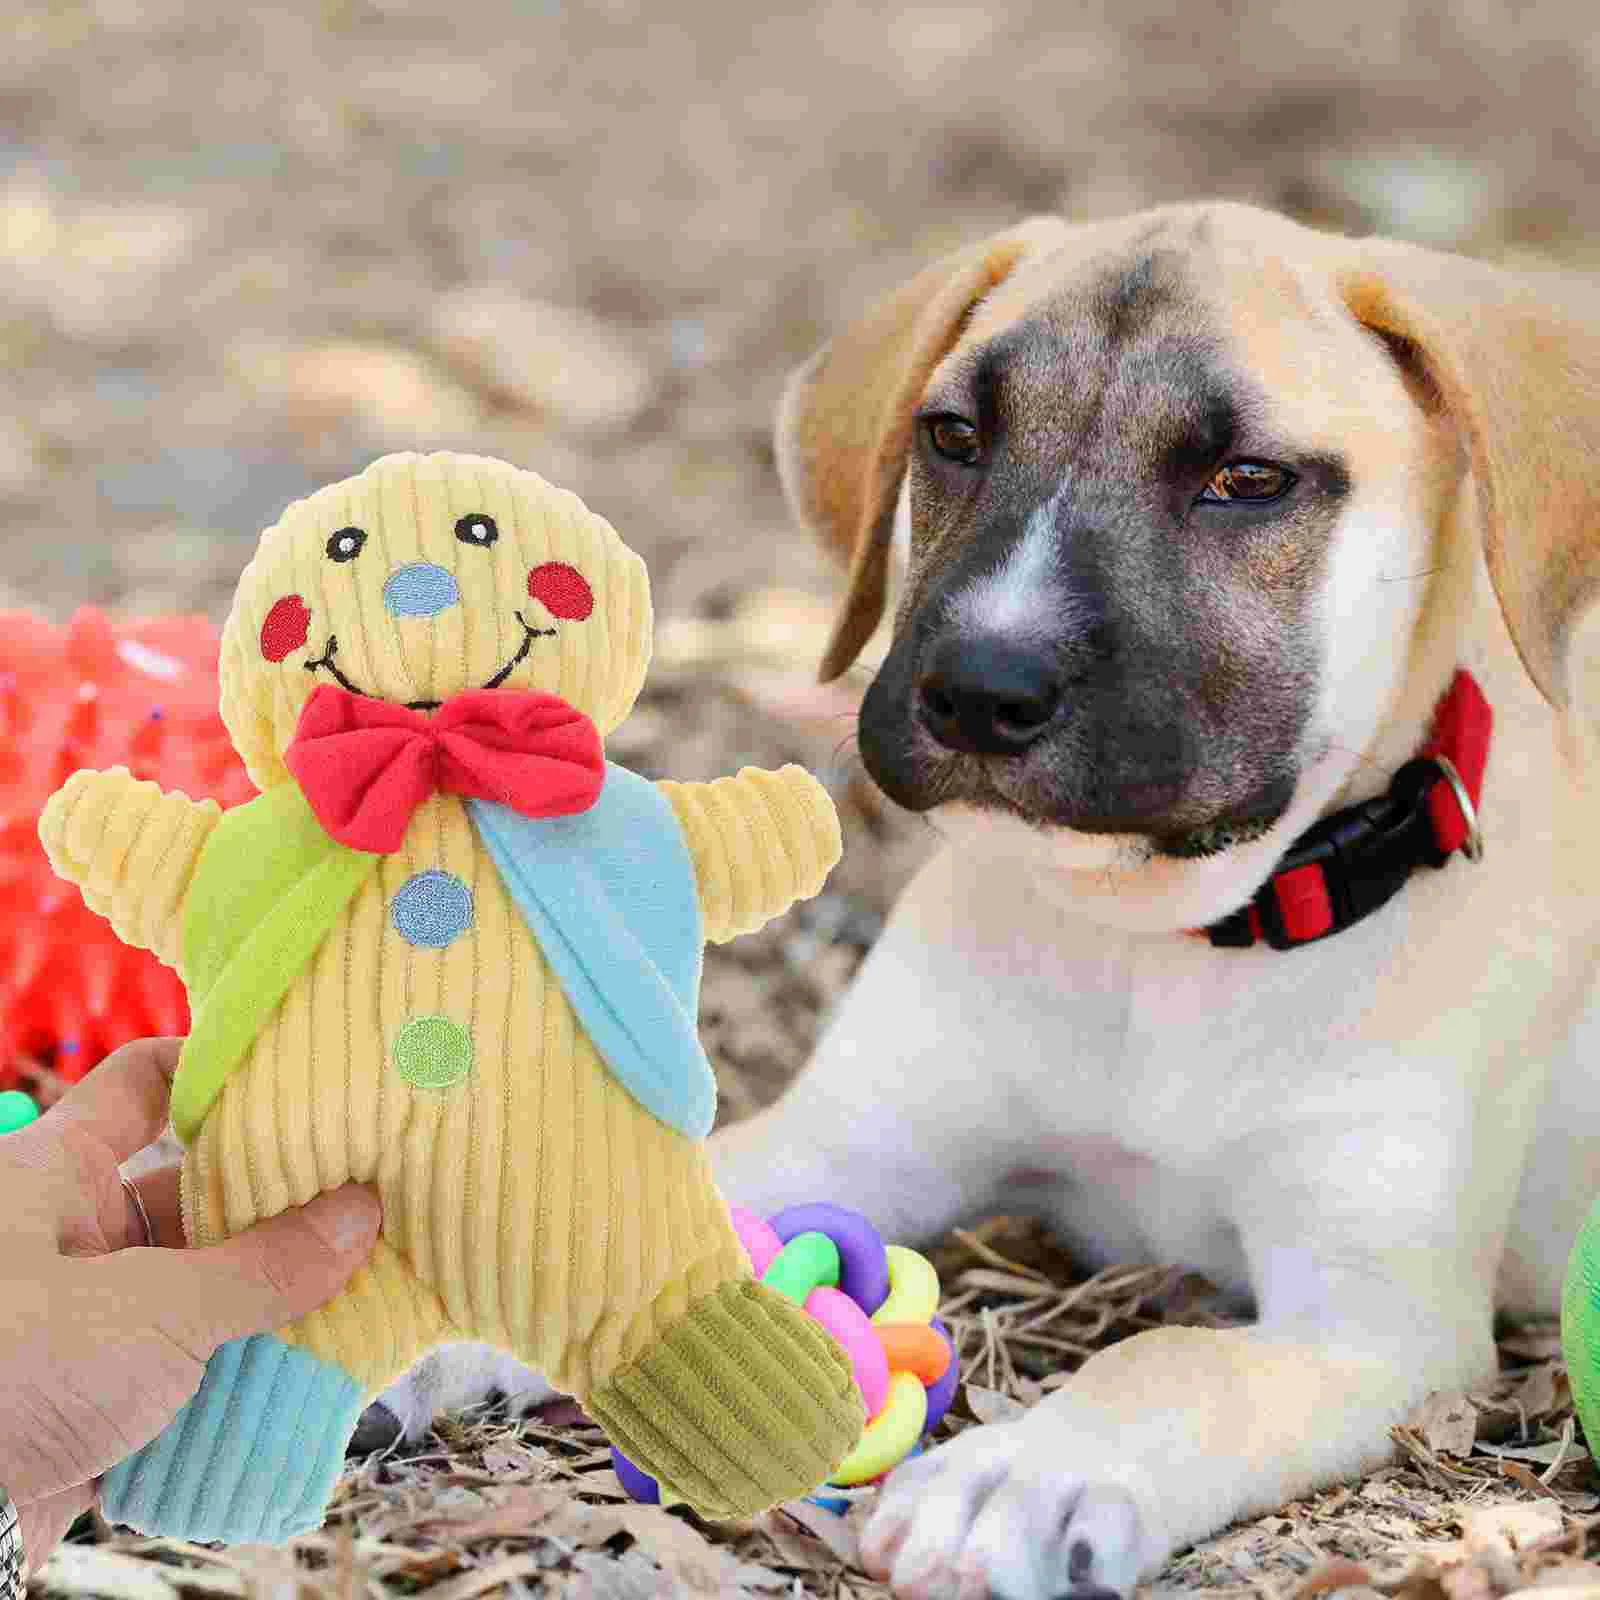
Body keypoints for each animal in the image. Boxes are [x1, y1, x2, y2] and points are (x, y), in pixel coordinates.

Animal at [363, 203, 1600, 1600]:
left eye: (1249, 480)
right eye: (954, 438)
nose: (979, 690)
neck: (1159, 942)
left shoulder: (1369, 1321)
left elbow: (1174, 1362)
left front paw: (1022, 1473)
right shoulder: (847, 1139)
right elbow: (613, 1215)